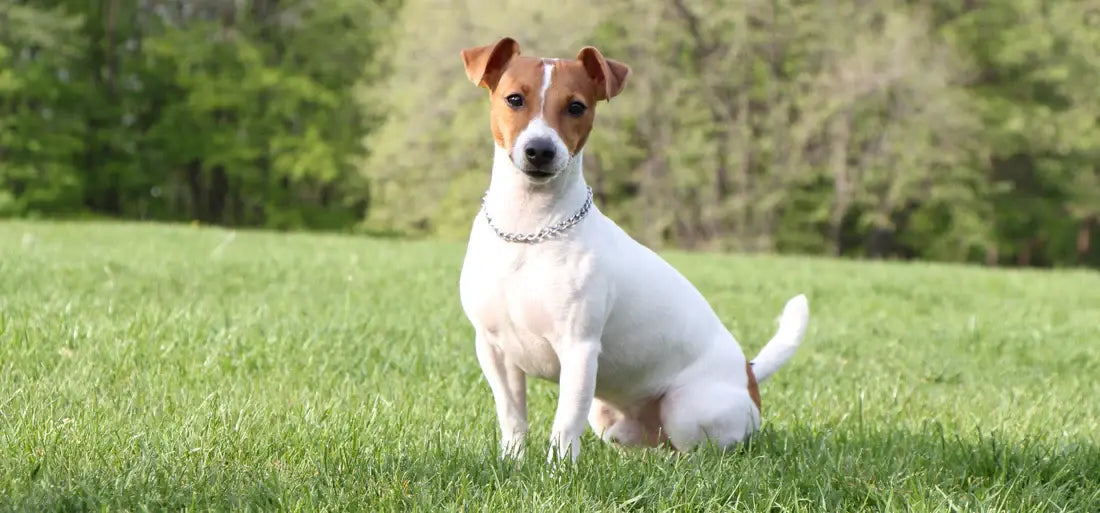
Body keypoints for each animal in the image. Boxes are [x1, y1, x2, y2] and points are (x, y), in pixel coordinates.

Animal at [455, 34, 809, 462]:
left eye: (576, 106)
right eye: (514, 99)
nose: (539, 150)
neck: (531, 228)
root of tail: (749, 374)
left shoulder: (579, 349)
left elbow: (564, 424)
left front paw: (558, 470)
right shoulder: (495, 351)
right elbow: (512, 418)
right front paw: (513, 463)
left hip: (685, 409)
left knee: (699, 451)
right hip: (608, 419)